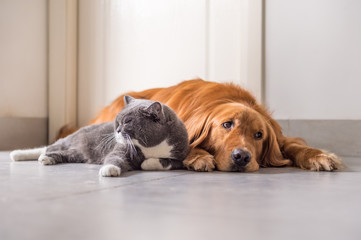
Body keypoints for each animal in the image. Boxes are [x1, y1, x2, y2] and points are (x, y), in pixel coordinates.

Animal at [9, 95, 188, 176]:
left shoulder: (181, 156)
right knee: (47, 147)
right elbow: (115, 157)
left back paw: (46, 159)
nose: (117, 130)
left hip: (79, 155)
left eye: (128, 122)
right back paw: (18, 154)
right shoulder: (122, 149)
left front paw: (147, 163)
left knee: (61, 153)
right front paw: (109, 169)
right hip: (68, 142)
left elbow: (169, 162)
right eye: (117, 121)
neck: (151, 146)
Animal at [58, 79, 340, 172]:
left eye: (259, 135)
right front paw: (199, 157)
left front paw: (319, 156)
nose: (242, 157)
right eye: (227, 124)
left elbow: (293, 145)